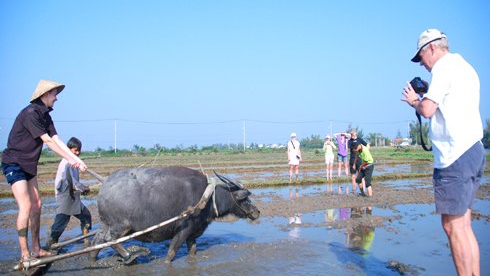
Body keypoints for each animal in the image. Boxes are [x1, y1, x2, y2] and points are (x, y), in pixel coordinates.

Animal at [90, 166, 262, 264]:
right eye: (244, 199)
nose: (257, 211)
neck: (207, 198)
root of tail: (105, 182)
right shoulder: (183, 231)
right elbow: (171, 253)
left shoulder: (192, 234)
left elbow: (193, 251)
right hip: (121, 226)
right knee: (109, 239)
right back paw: (129, 256)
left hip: (106, 224)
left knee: (97, 239)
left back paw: (92, 260)